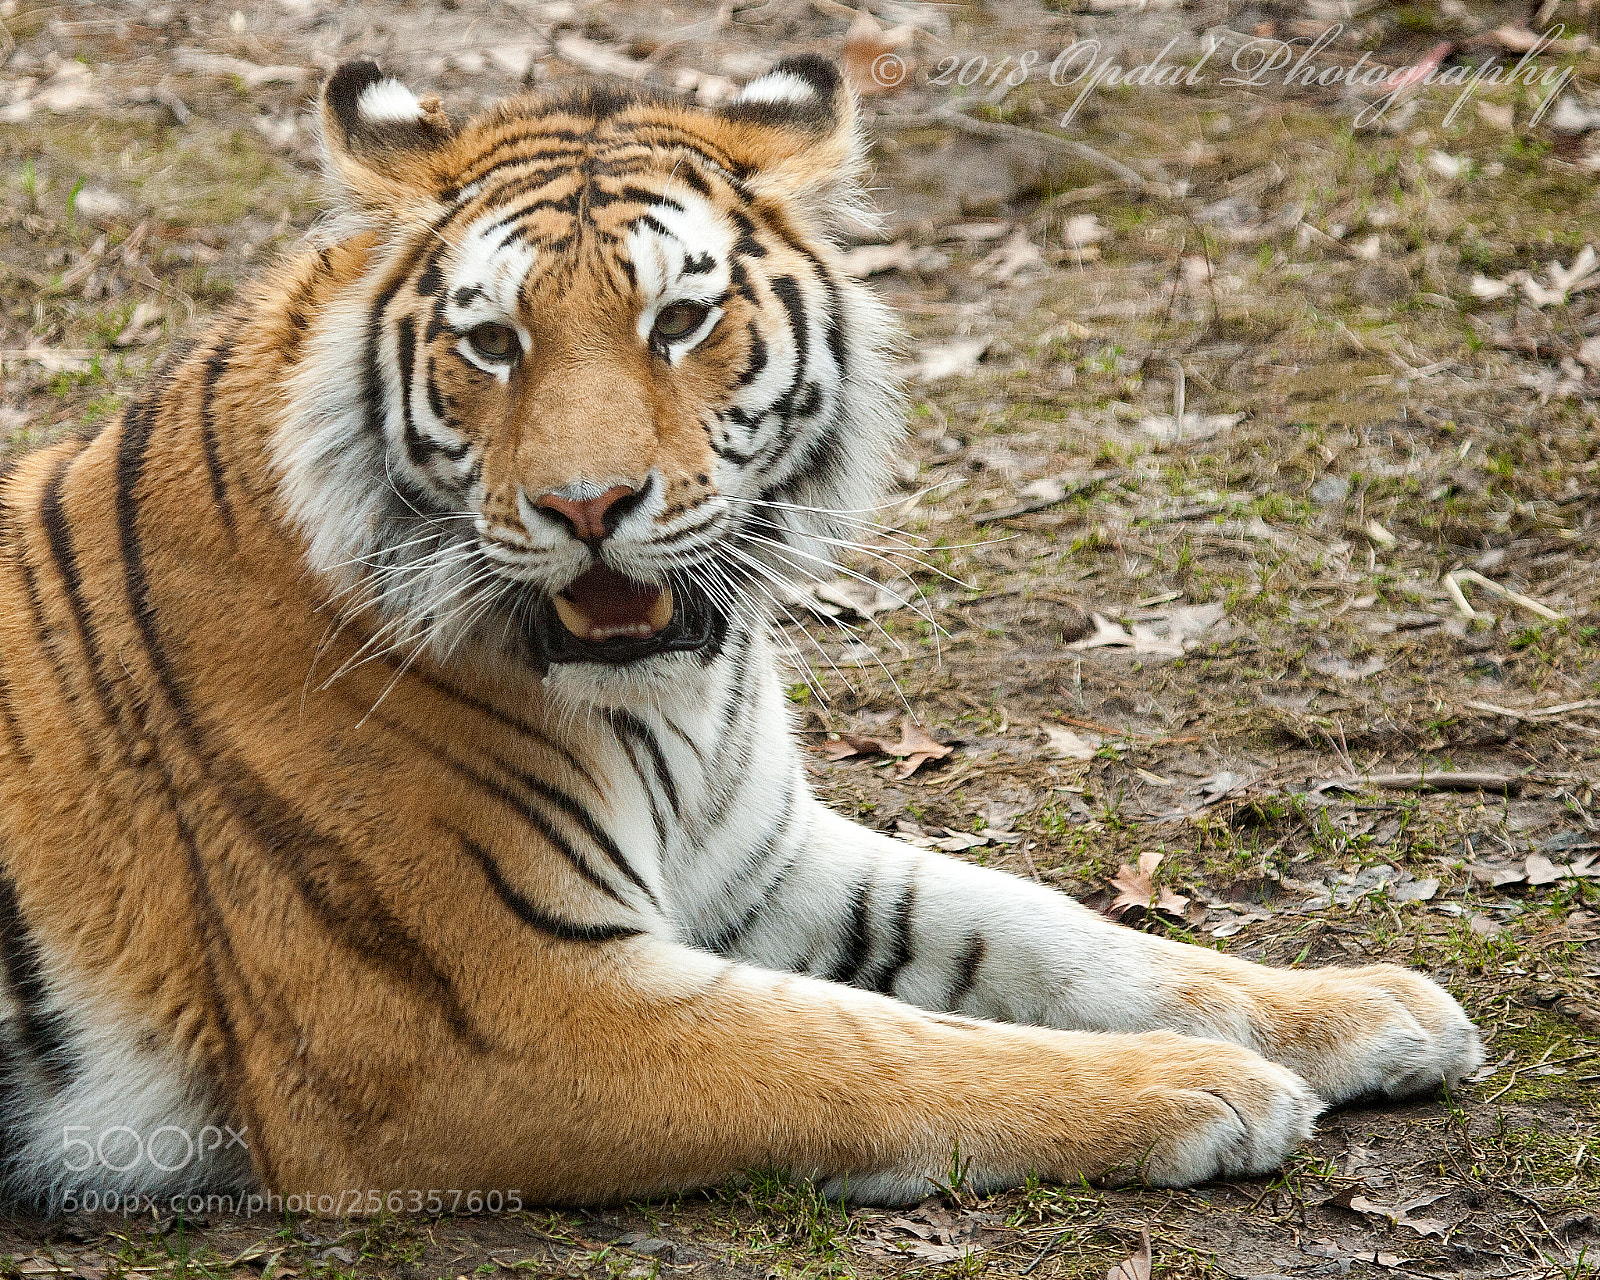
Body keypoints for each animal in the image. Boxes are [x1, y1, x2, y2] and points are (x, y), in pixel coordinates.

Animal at [0, 55, 1481, 1211]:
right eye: (491, 343)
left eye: (680, 319)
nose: (588, 505)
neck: (672, 698)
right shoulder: (492, 1019)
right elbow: (866, 1047)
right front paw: (1208, 1088)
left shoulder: (761, 859)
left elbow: (1046, 928)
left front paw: (1363, 1007)